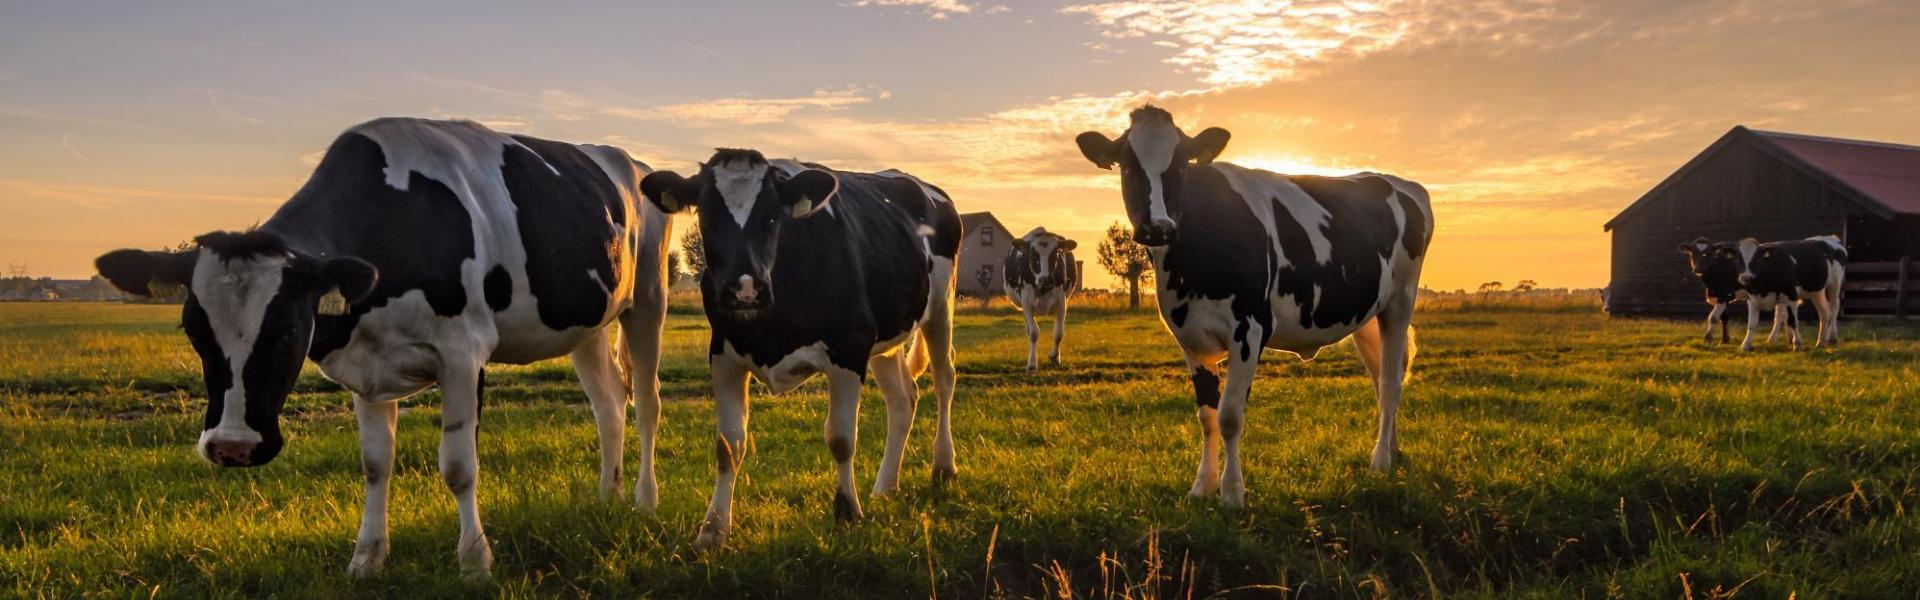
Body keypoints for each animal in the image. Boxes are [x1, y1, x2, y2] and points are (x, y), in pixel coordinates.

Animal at [91, 115, 675, 576]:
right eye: (194, 331)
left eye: (287, 330)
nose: (232, 447)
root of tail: (627, 160)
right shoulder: (365, 366)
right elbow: (376, 463)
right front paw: (367, 559)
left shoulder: (464, 352)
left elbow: (458, 466)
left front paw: (474, 562)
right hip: (587, 324)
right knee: (608, 406)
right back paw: (606, 497)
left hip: (648, 298)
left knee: (645, 403)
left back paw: (644, 502)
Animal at [637, 149, 960, 550]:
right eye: (707, 215)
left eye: (773, 216)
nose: (745, 290)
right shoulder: (724, 356)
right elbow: (728, 446)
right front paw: (712, 529)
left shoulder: (850, 349)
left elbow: (841, 438)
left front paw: (847, 513)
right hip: (887, 336)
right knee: (903, 398)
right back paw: (885, 485)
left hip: (941, 306)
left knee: (944, 378)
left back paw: (943, 466)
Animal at [1006, 226, 1082, 371]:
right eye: (1033, 255)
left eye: (1055, 254)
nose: (1045, 278)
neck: (1043, 288)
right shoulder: (1026, 303)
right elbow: (1033, 333)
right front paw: (1031, 364)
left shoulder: (1062, 302)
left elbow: (1058, 333)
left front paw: (1055, 356)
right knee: (1029, 330)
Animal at [1075, 107, 1436, 507]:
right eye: (1126, 165)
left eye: (1182, 164)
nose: (1158, 227)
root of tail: (1397, 182)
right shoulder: (1189, 338)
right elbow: (1207, 415)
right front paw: (1202, 486)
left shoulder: (1250, 328)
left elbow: (1230, 416)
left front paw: (1233, 493)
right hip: (1368, 315)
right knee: (1384, 375)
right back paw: (1394, 450)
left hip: (1400, 301)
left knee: (1389, 383)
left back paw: (1380, 461)